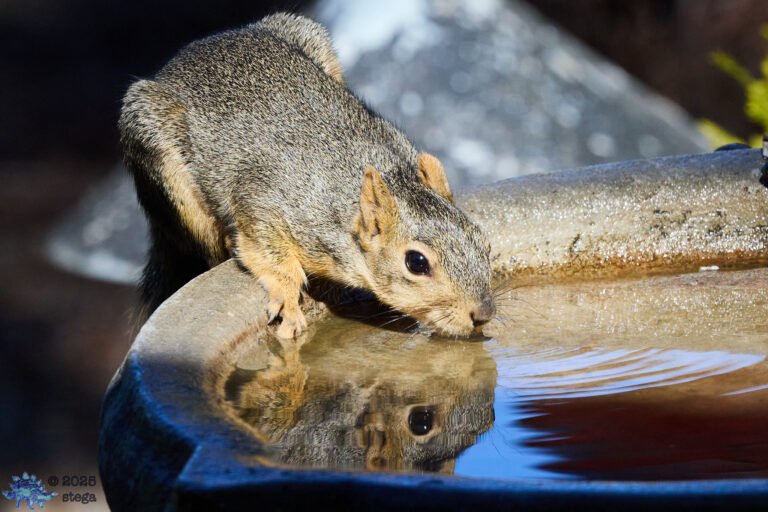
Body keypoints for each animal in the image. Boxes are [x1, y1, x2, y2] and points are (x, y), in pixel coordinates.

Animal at [120, 13, 495, 338]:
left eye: (484, 241)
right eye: (416, 263)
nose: (482, 314)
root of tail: (186, 57)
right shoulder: (263, 204)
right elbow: (269, 255)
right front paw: (288, 298)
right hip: (161, 158)